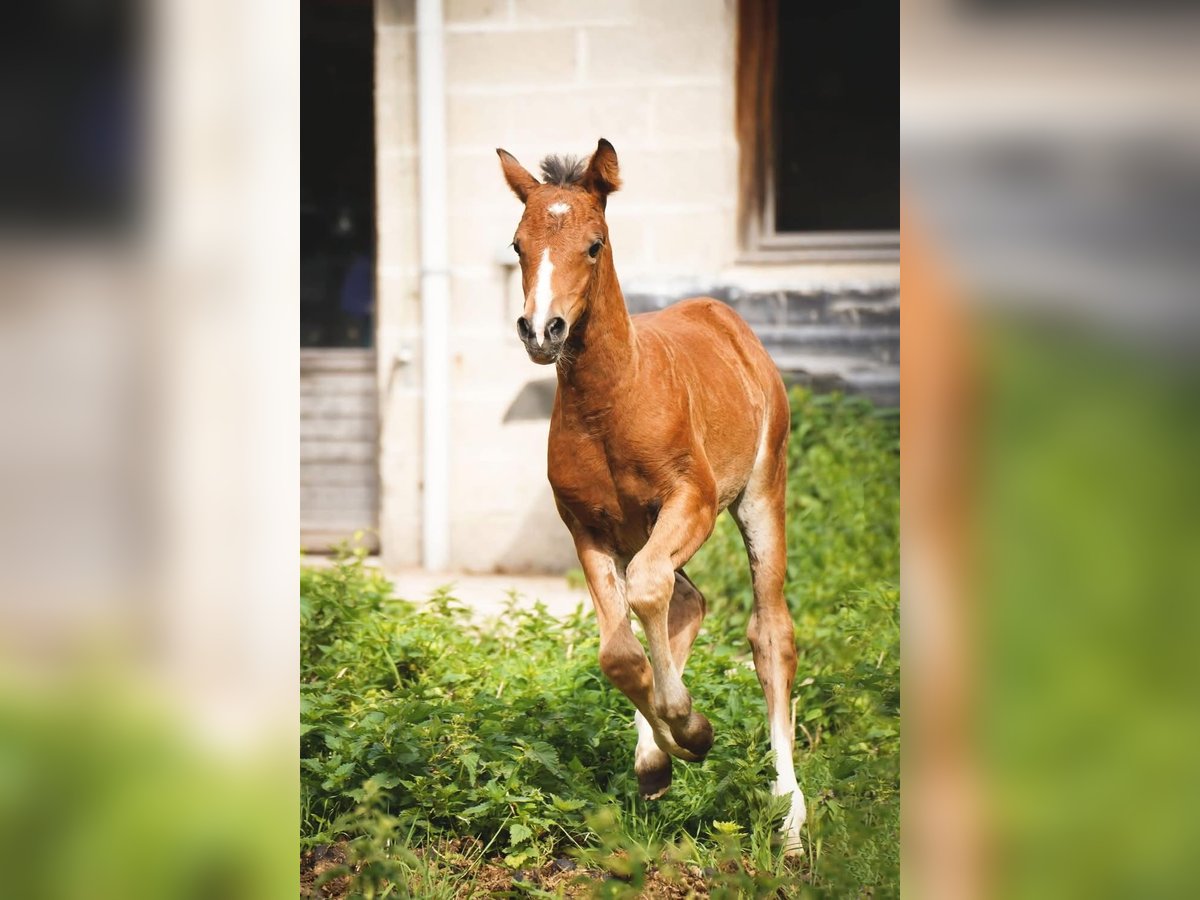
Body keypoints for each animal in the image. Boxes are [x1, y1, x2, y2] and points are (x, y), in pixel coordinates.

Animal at [496, 137, 806, 849]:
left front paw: (690, 727)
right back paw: (659, 756)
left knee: (768, 629)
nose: (541, 331)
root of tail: (725, 318)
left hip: (758, 493)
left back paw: (790, 817)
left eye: (594, 244)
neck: (609, 404)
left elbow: (645, 594)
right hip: (641, 530)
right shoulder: (586, 528)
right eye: (518, 245)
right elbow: (618, 651)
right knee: (685, 599)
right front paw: (677, 741)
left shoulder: (691, 501)